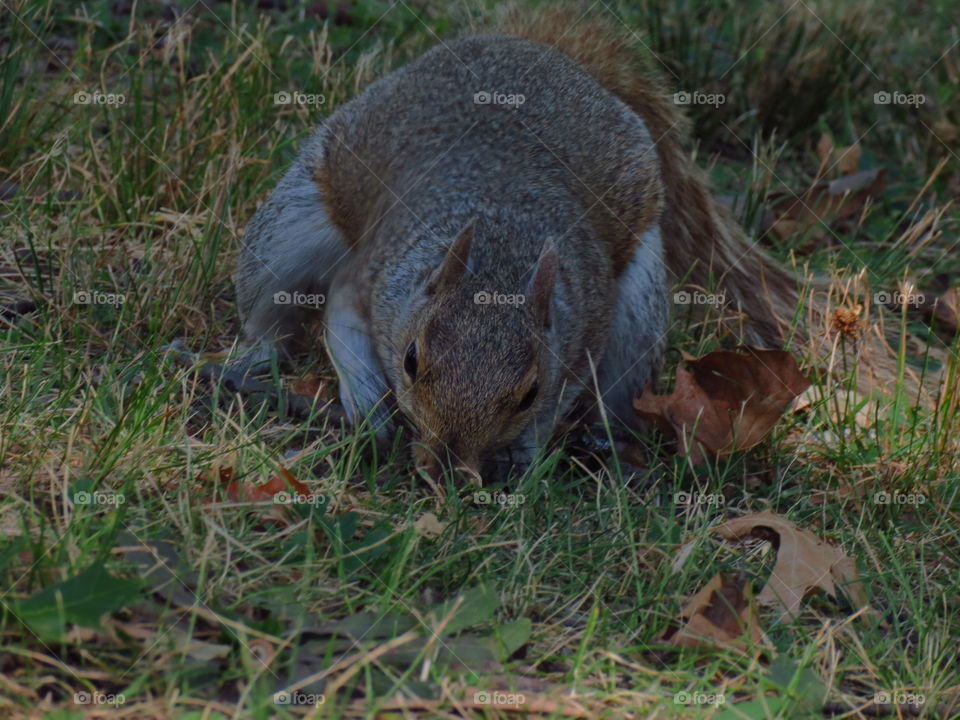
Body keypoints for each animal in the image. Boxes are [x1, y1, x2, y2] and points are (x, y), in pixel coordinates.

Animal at [233, 5, 802, 479]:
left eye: (528, 393)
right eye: (411, 361)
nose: (447, 462)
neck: (500, 246)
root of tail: (546, 55)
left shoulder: (585, 326)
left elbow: (563, 390)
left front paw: (522, 453)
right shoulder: (369, 277)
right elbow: (342, 322)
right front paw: (372, 410)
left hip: (638, 308)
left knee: (618, 389)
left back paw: (609, 442)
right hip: (294, 222)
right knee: (269, 307)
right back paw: (249, 363)